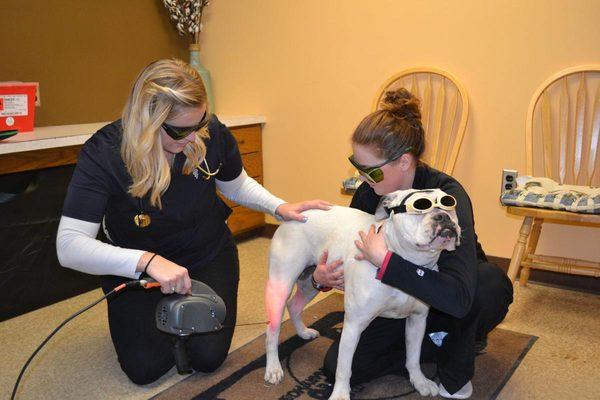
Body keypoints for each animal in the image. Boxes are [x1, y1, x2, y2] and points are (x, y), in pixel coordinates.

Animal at [262, 188, 460, 400]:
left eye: (449, 205)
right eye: (420, 206)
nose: (443, 217)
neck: (404, 263)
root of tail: (295, 215)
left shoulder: (417, 320)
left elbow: (413, 357)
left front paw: (419, 380)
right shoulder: (353, 325)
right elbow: (343, 367)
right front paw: (340, 394)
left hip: (310, 282)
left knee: (294, 305)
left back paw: (303, 332)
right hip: (281, 283)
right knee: (273, 328)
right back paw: (273, 368)